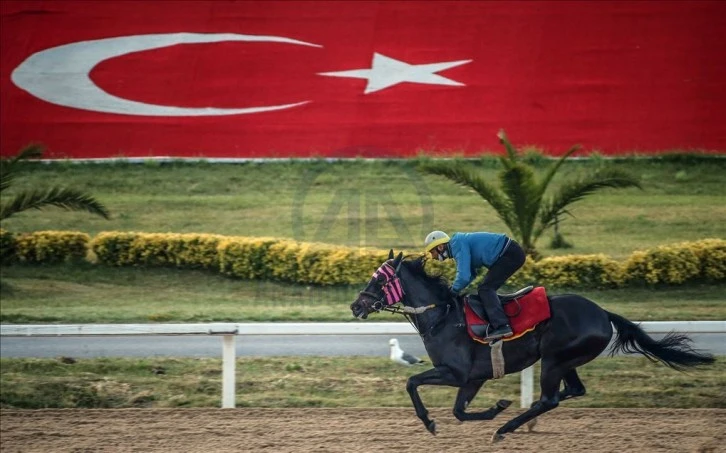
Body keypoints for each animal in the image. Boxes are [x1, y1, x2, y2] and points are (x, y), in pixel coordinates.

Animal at [352, 249, 716, 440]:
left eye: (380, 279)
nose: (356, 306)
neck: (442, 316)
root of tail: (603, 313)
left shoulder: (456, 372)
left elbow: (412, 382)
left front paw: (430, 421)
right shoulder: (474, 377)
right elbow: (459, 411)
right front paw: (496, 407)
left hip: (554, 359)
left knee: (549, 398)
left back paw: (508, 427)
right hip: (565, 361)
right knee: (571, 391)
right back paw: (518, 421)